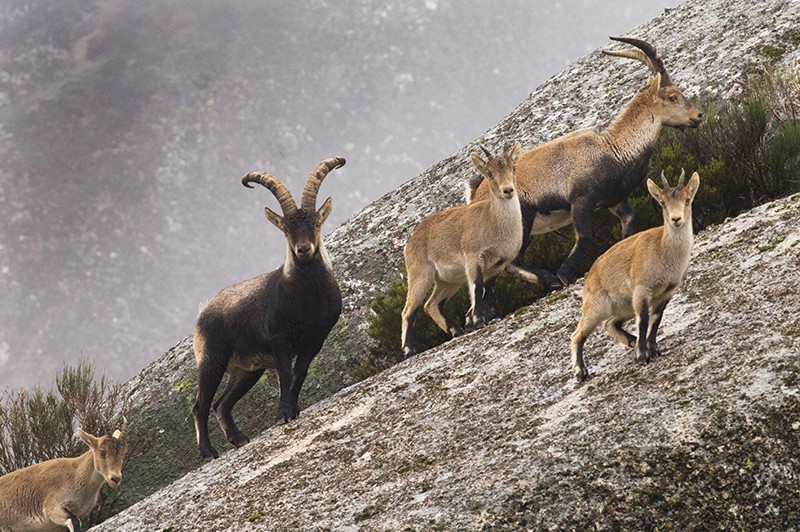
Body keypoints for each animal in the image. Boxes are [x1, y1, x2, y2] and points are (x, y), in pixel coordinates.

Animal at [0, 424, 128, 532]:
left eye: (123, 453)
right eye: (102, 451)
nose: (115, 479)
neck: (76, 475)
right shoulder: (52, 508)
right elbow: (75, 521)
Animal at [192, 157, 344, 459]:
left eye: (316, 222)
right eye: (286, 228)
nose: (303, 249)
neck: (308, 299)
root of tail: (201, 313)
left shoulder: (316, 338)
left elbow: (299, 373)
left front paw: (293, 409)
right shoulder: (279, 339)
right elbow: (285, 374)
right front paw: (283, 414)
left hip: (247, 370)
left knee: (221, 403)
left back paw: (238, 438)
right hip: (212, 359)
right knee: (200, 405)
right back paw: (208, 451)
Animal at [401, 142, 528, 356]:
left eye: (513, 168)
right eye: (489, 173)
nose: (508, 190)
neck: (493, 222)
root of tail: (411, 241)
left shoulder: (498, 264)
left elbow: (485, 289)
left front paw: (480, 319)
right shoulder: (473, 258)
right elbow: (477, 287)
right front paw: (478, 321)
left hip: (448, 280)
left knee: (431, 304)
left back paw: (456, 330)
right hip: (420, 274)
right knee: (410, 309)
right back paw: (410, 349)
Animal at [468, 36, 702, 285]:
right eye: (672, 97)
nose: (698, 116)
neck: (613, 146)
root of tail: (474, 197)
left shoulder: (613, 199)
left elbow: (629, 220)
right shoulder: (581, 200)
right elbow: (585, 235)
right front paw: (564, 274)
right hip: (523, 216)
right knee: (513, 261)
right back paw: (549, 279)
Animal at [570, 169, 700, 381]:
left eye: (687, 199)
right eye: (662, 203)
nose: (676, 219)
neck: (663, 250)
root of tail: (589, 277)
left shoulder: (667, 292)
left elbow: (656, 320)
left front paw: (653, 349)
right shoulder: (642, 289)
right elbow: (644, 320)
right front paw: (642, 356)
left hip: (623, 307)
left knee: (610, 324)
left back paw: (631, 341)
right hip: (596, 307)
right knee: (577, 335)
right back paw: (580, 371)